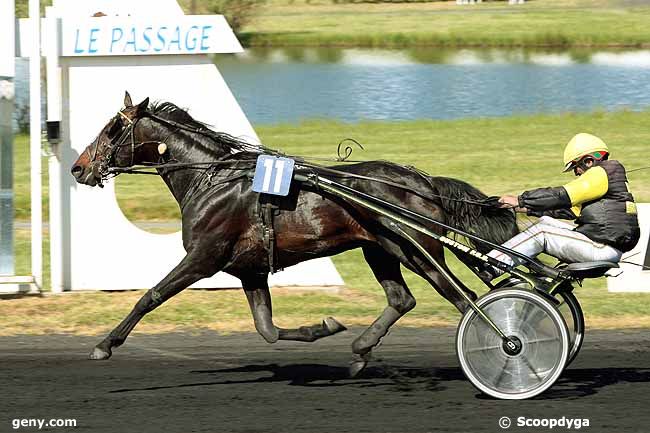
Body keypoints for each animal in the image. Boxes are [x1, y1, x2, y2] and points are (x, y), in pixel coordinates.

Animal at [72, 92, 516, 374]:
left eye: (112, 129)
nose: (79, 168)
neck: (210, 179)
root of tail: (423, 182)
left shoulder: (204, 256)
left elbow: (151, 296)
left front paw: (104, 345)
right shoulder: (249, 270)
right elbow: (267, 330)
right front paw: (325, 327)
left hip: (416, 250)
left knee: (464, 298)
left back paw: (503, 346)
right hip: (380, 249)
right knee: (401, 299)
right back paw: (360, 351)